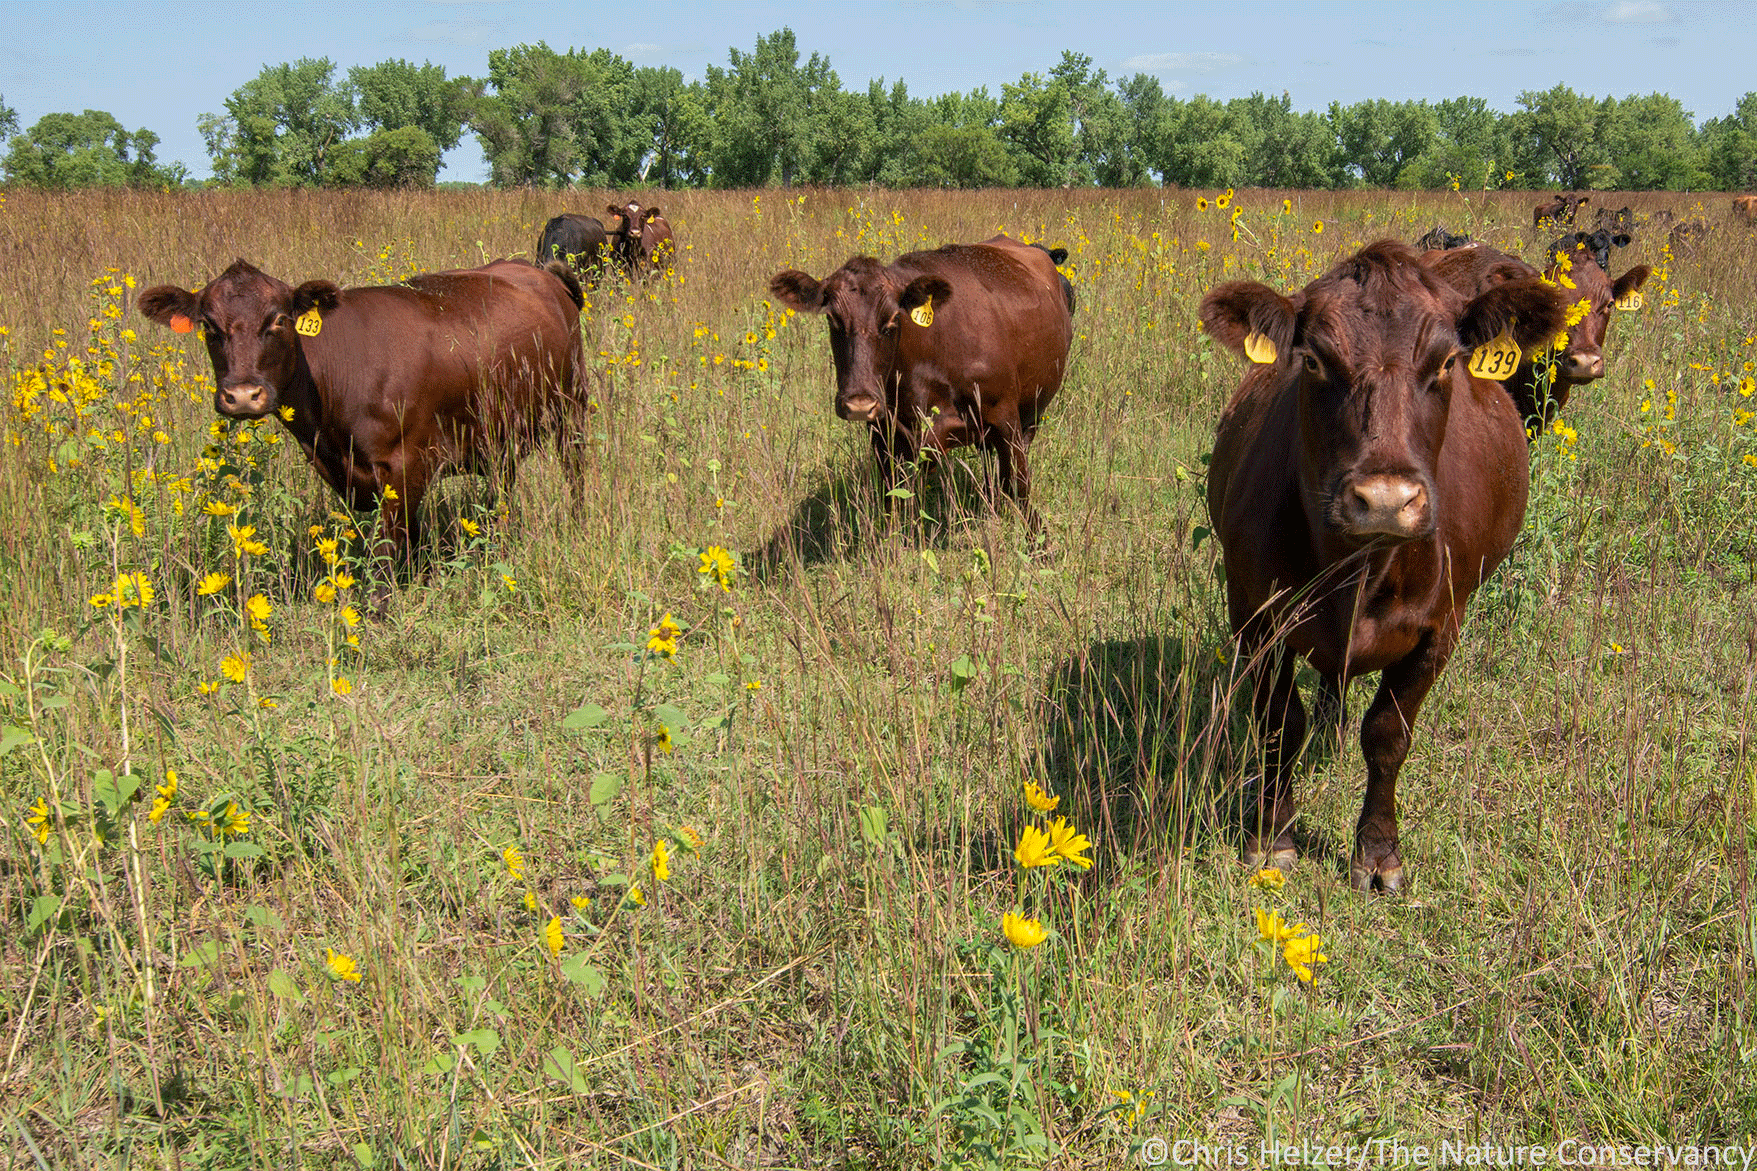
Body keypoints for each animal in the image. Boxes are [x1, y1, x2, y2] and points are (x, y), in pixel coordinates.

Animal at [138, 259, 586, 563]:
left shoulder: (403, 464)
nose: (244, 395)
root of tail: (537, 270)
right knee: (501, 486)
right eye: (208, 325)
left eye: (279, 319)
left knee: (575, 472)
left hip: (573, 410)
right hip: (498, 433)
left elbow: (388, 546)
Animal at [769, 235, 1074, 531]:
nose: (859, 404)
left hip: (1032, 411)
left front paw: (1039, 540)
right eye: (834, 320)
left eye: (892, 319)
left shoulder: (1005, 419)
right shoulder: (885, 434)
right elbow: (893, 501)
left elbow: (1019, 487)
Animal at [1201, 240, 1567, 892]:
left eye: (1446, 363)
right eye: (1314, 361)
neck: (1358, 569)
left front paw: (1377, 852)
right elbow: (1279, 726)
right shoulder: (1254, 614)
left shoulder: (1439, 629)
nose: (1387, 499)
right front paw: (1272, 838)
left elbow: (1388, 736)